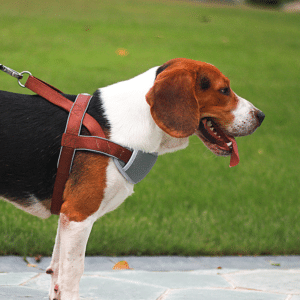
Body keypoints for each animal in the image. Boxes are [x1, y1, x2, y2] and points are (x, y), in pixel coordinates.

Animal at [0, 57, 264, 298]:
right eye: (224, 90)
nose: (261, 116)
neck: (138, 119)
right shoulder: (78, 215)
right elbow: (72, 275)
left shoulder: (67, 217)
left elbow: (56, 273)